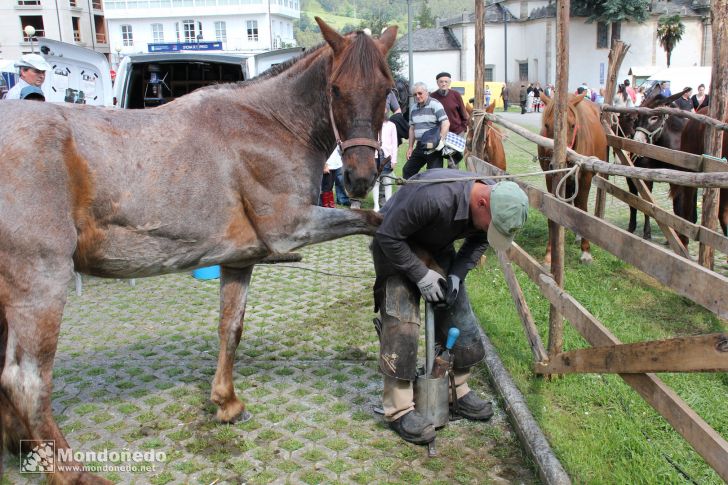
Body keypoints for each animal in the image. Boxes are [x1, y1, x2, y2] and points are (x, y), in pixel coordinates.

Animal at [1, 18, 398, 484]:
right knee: (27, 382)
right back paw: (71, 471)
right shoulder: (292, 228)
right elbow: (373, 220)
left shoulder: (238, 259)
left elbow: (231, 328)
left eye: (386, 88)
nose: (360, 177)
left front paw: (226, 402)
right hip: (41, 285)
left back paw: (19, 443)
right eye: (335, 88)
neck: (268, 124)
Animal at [536, 92, 604, 262]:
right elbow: (552, 213)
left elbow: (583, 210)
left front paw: (586, 251)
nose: (557, 163)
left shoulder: (585, 178)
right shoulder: (550, 178)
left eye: (573, 125)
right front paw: (550, 252)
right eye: (546, 125)